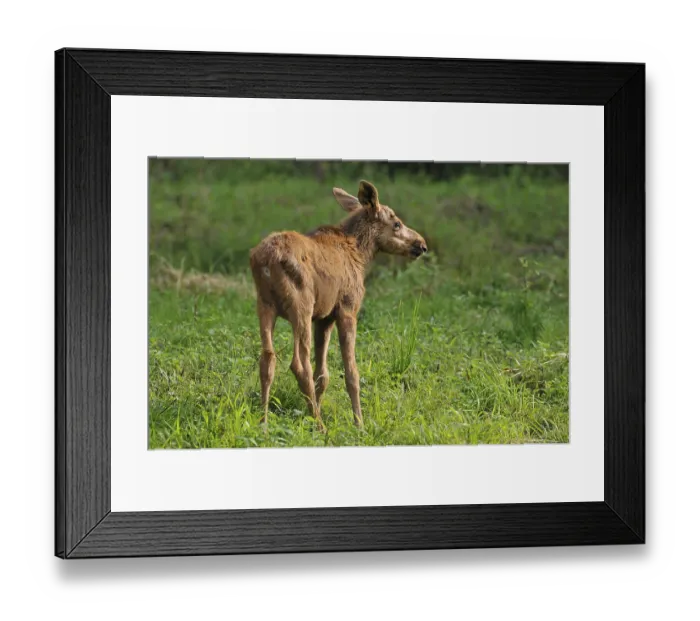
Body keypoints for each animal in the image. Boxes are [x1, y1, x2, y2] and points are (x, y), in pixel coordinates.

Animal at [249, 180, 428, 433]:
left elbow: (323, 375)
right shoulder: (347, 310)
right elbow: (351, 373)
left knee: (267, 359)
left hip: (265, 305)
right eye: (396, 223)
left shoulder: (323, 318)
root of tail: (265, 259)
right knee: (299, 365)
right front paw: (359, 423)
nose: (421, 244)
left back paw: (264, 423)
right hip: (300, 307)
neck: (361, 253)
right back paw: (320, 426)